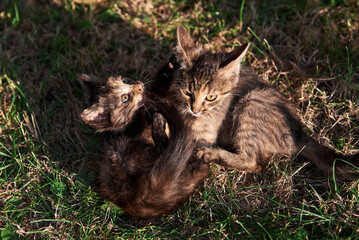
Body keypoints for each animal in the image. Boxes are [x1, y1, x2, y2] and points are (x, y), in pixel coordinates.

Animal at [170, 26, 358, 180]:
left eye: (210, 97)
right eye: (188, 92)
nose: (194, 109)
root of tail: (299, 133)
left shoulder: (206, 135)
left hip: (250, 104)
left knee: (254, 163)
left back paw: (211, 154)